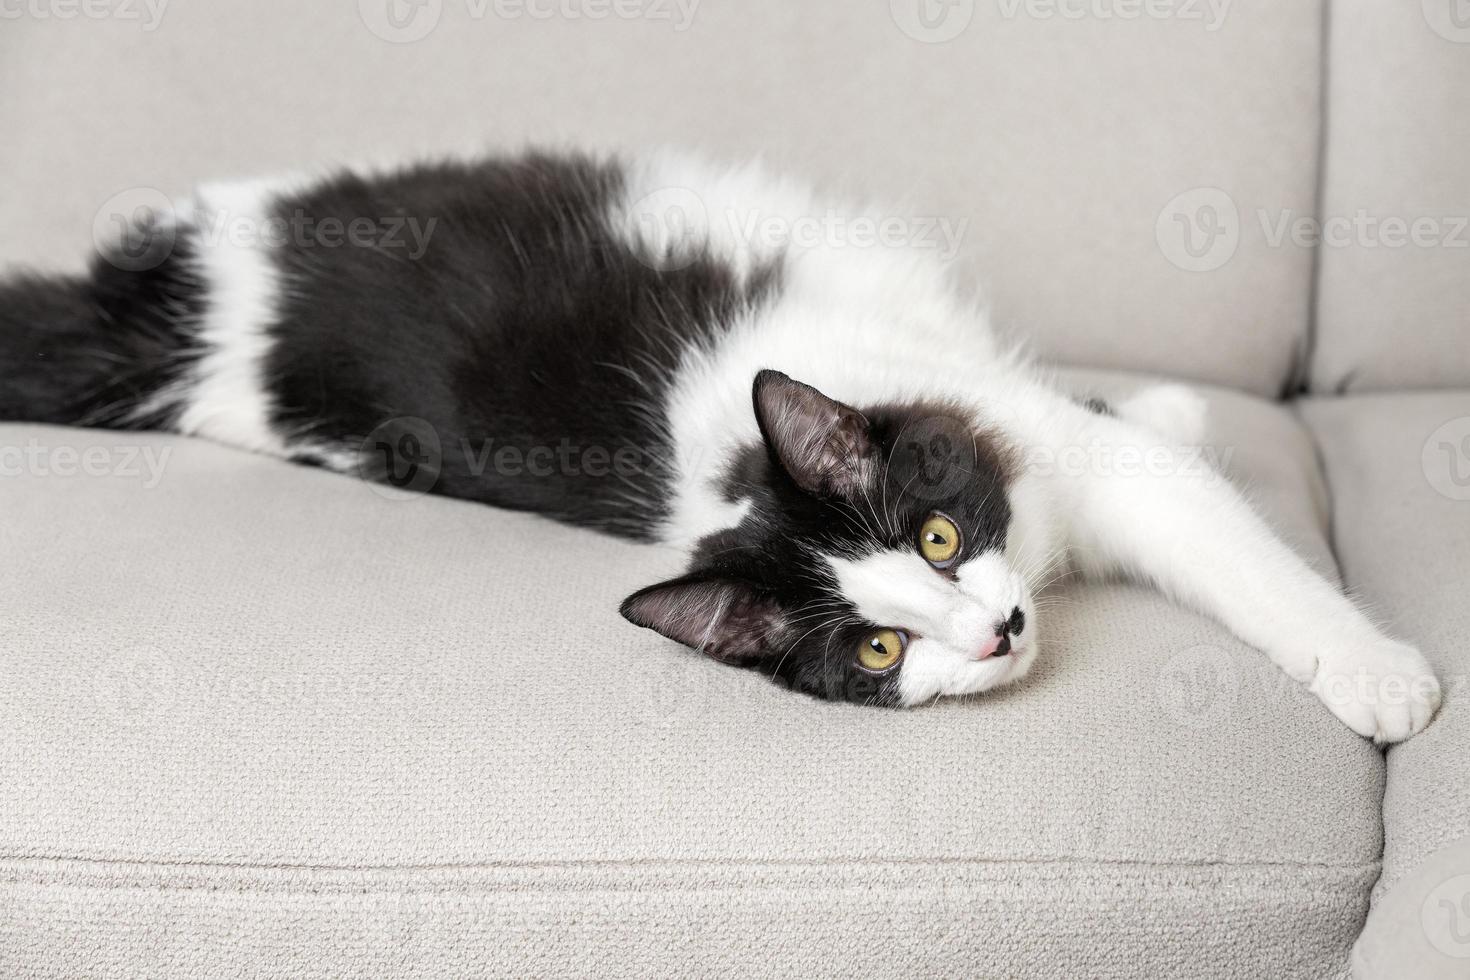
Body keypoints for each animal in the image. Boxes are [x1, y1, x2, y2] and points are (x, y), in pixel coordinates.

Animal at [0, 149, 1440, 740]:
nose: (995, 636)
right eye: (878, 650)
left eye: (934, 533)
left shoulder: (998, 420)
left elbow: (1216, 533)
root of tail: (189, 332)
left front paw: (1376, 672)